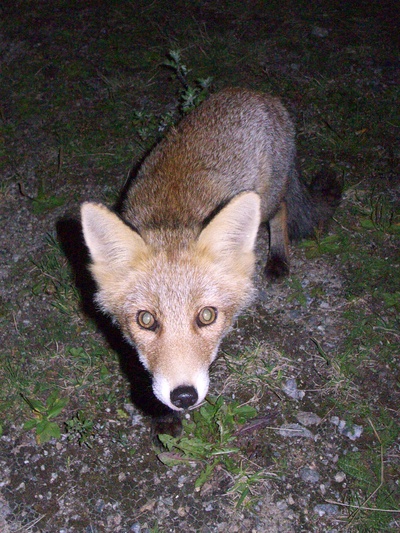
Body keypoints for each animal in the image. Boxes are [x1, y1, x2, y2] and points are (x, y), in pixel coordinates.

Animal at [80, 87, 340, 428]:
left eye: (207, 316)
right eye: (146, 320)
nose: (184, 396)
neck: (172, 219)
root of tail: (257, 94)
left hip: (267, 202)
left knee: (281, 210)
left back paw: (279, 258)